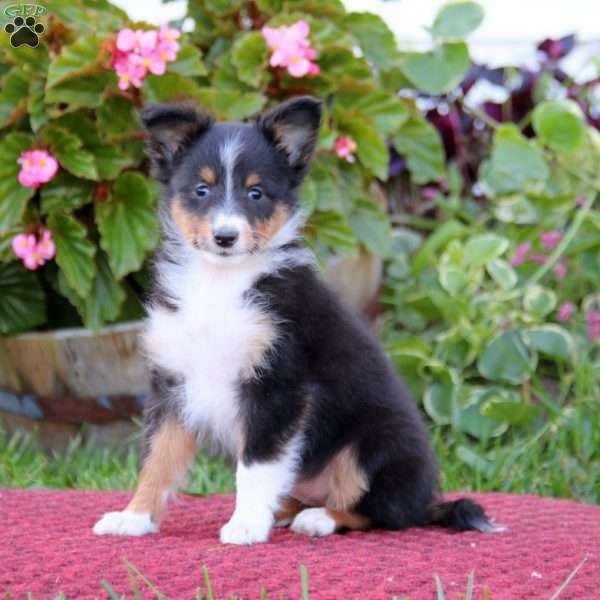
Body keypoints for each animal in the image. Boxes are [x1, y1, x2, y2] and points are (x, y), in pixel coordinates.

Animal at [94, 95, 496, 544]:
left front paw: (246, 525)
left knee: (384, 510)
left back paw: (320, 517)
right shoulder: (172, 384)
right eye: (201, 190)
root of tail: (429, 497)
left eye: (256, 193)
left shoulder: (277, 386)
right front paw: (134, 517)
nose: (225, 237)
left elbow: (254, 466)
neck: (220, 282)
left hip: (374, 441)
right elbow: (156, 459)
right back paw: (286, 511)